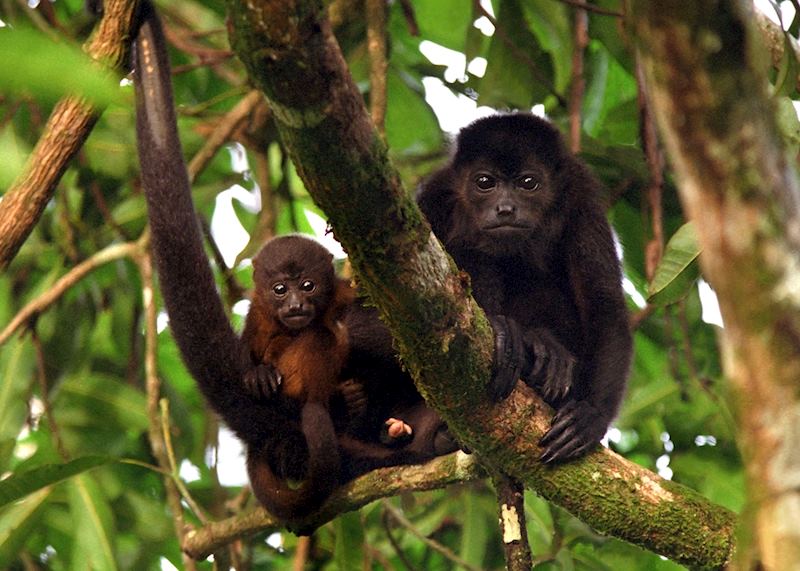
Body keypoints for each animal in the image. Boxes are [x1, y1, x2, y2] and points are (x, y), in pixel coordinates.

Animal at [417, 113, 632, 464]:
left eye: (528, 183)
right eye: (485, 182)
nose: (505, 209)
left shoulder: (581, 198)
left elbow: (604, 304)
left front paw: (591, 415)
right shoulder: (435, 198)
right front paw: (508, 331)